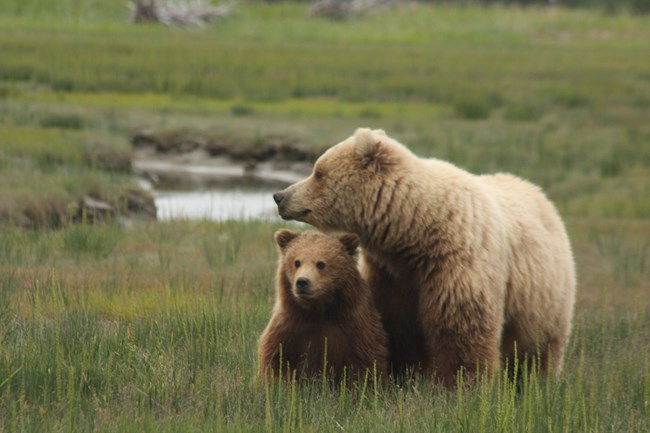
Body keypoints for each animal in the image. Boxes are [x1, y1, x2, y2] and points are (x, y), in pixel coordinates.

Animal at [270, 126, 576, 386]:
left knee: (540, 345)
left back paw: (540, 382)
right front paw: (406, 375)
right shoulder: (392, 274)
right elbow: (399, 327)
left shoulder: (455, 264)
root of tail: (542, 197)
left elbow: (461, 328)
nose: (279, 196)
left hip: (543, 295)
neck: (415, 232)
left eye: (318, 172)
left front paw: (462, 385)